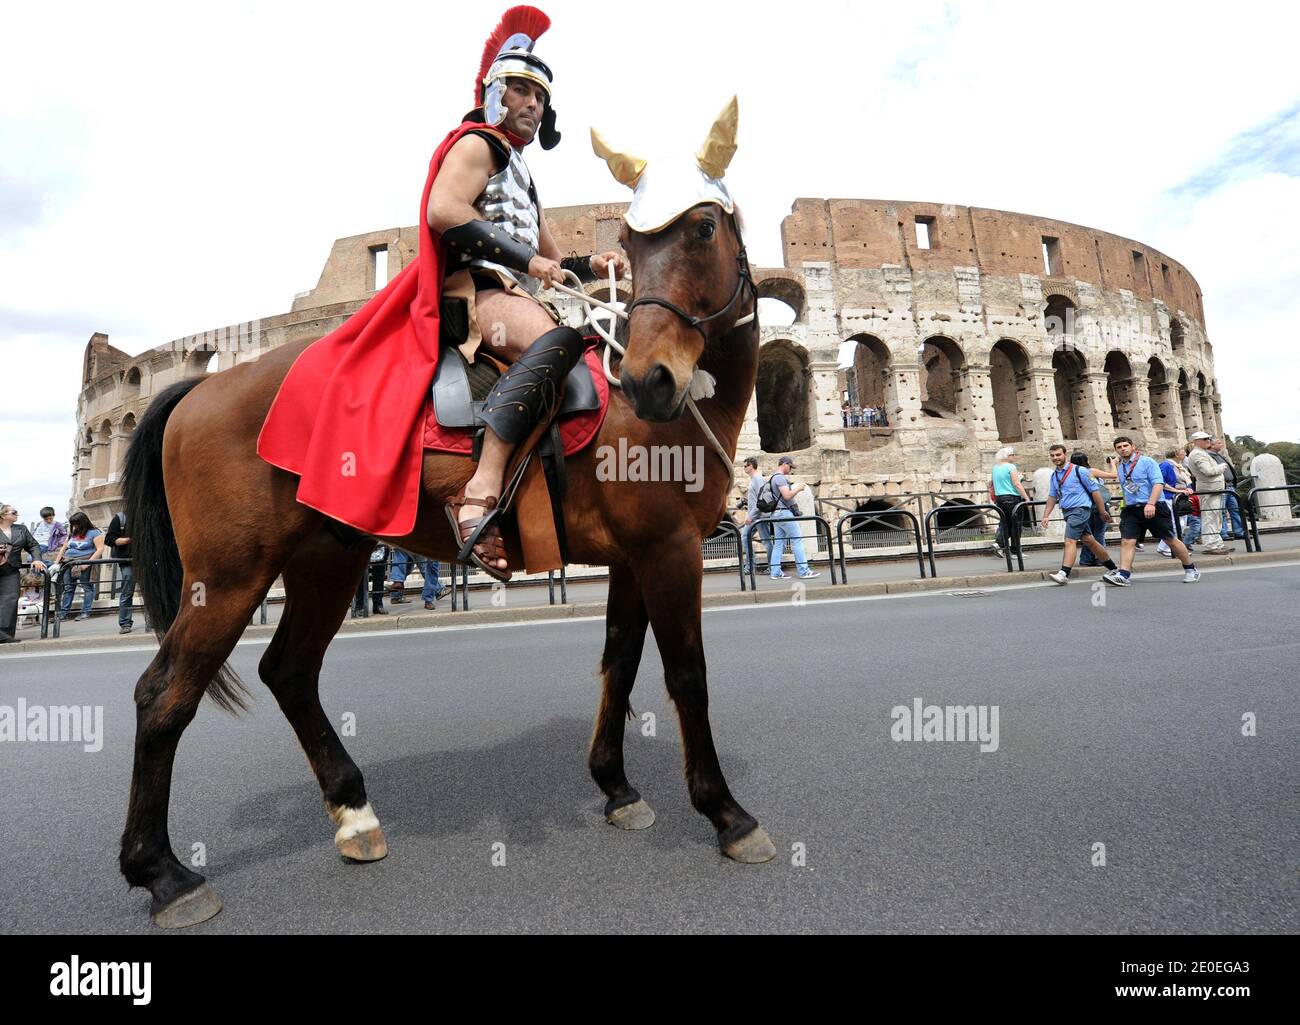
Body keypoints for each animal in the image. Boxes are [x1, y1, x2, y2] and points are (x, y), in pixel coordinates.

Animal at [116, 189, 769, 920]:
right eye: (634, 245)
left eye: (703, 229)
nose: (648, 380)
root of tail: (199, 391)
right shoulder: (668, 549)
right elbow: (687, 674)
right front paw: (726, 813)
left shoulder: (633, 556)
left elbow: (621, 661)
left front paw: (616, 785)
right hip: (229, 576)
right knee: (165, 694)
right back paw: (163, 872)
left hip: (328, 560)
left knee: (289, 672)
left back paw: (353, 812)